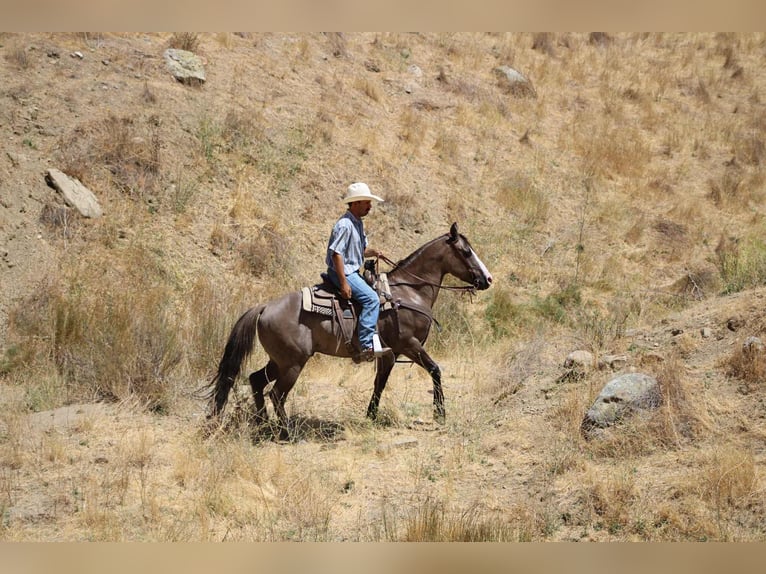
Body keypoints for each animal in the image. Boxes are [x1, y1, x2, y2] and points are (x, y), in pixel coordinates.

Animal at [204, 222, 492, 438]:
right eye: (467, 252)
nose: (487, 279)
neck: (408, 293)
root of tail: (264, 307)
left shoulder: (388, 354)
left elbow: (380, 383)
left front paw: (370, 416)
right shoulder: (409, 345)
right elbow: (435, 369)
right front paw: (440, 413)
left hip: (280, 361)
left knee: (256, 380)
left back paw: (264, 425)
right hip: (293, 363)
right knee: (276, 394)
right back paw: (285, 434)